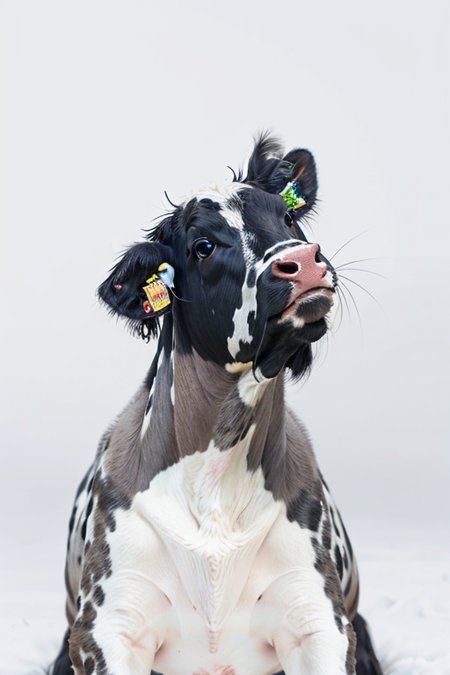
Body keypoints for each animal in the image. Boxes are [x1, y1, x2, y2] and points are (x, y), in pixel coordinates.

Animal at [52, 134, 383, 675]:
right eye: (202, 246)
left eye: (287, 218)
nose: (303, 262)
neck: (215, 476)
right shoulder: (104, 628)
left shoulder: (321, 621)